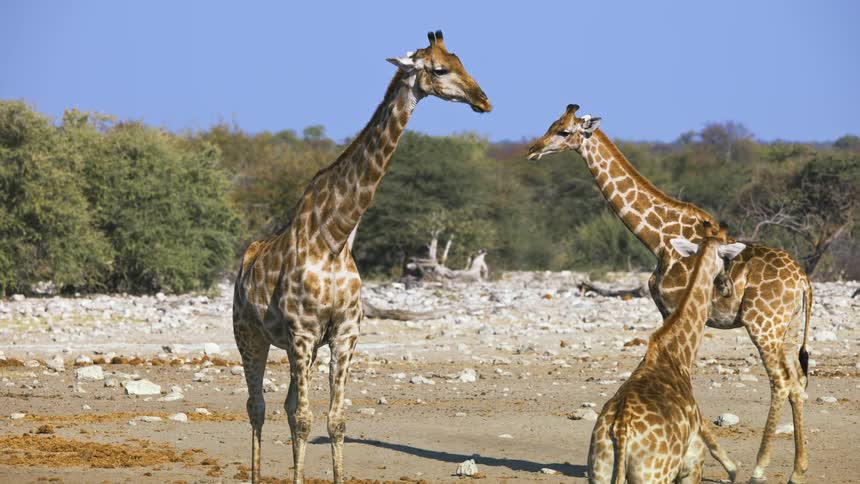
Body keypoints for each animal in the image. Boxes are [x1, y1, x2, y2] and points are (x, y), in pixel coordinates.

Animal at [232, 31, 490, 484]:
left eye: (463, 62)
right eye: (440, 69)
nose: (483, 99)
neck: (334, 239)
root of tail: (244, 263)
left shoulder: (343, 333)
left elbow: (334, 421)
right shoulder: (301, 332)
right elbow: (305, 420)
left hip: (301, 347)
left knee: (283, 406)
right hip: (249, 335)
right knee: (257, 407)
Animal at [589, 234, 746, 484]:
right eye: (727, 260)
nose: (728, 287)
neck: (677, 354)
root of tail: (621, 432)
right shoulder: (693, 464)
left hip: (599, 471)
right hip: (654, 475)